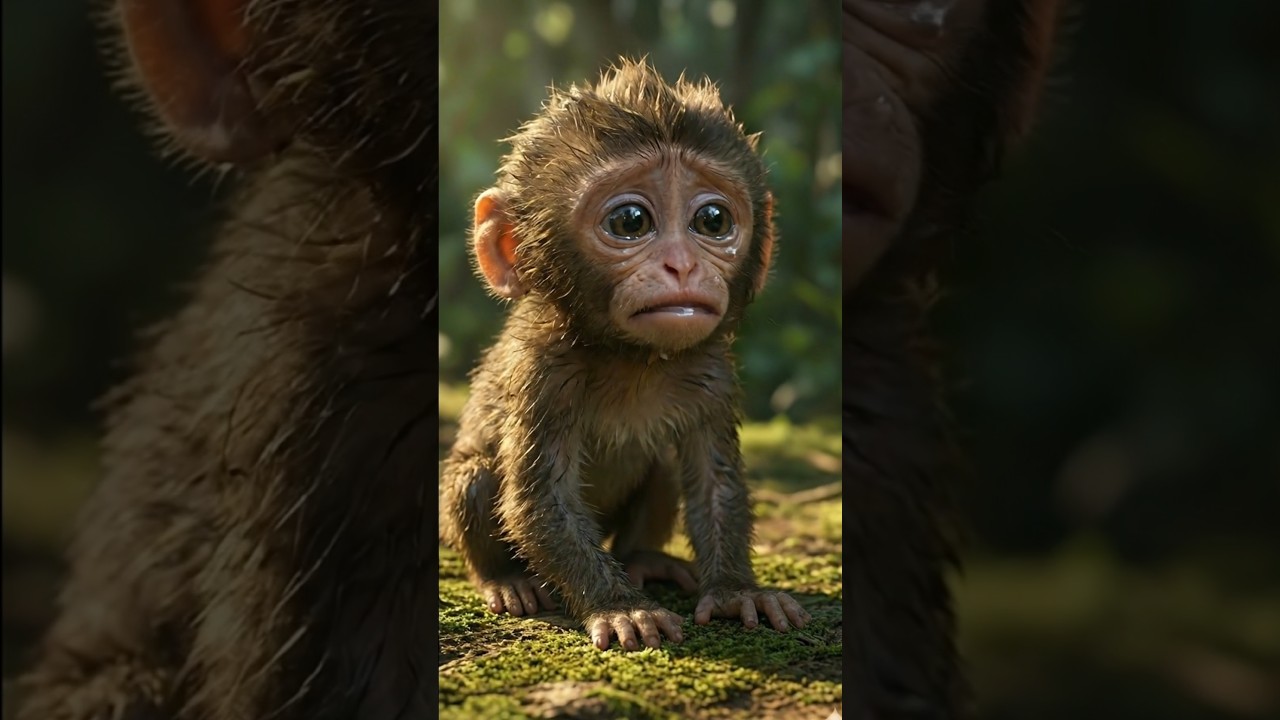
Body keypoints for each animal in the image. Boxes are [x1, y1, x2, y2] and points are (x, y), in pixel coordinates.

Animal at [438, 58, 811, 653]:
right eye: (630, 221)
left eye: (712, 220)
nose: (681, 264)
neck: (631, 357)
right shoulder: (540, 372)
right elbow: (541, 501)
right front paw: (619, 607)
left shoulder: (712, 371)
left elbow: (714, 480)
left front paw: (736, 590)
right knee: (473, 476)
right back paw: (506, 579)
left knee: (664, 464)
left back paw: (643, 560)